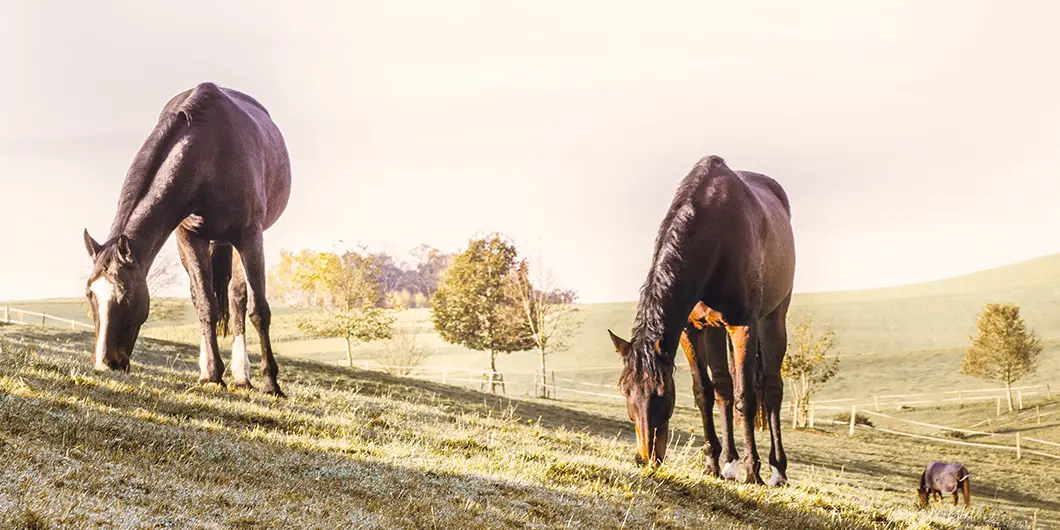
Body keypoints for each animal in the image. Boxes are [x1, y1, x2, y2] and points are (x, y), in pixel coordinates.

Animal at [82, 82, 291, 396]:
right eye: (90, 295)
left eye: (126, 295)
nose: (105, 363)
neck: (210, 153)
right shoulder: (188, 238)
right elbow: (205, 304)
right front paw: (214, 375)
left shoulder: (250, 237)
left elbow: (258, 309)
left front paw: (271, 383)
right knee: (204, 297)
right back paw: (209, 371)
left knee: (238, 299)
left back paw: (243, 376)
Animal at [608, 155, 795, 486]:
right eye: (625, 392)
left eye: (661, 394)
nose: (645, 458)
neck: (716, 237)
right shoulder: (691, 329)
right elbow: (704, 392)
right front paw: (712, 464)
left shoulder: (743, 325)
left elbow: (745, 396)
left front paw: (753, 473)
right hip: (714, 330)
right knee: (722, 388)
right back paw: (729, 463)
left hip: (774, 317)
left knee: (772, 389)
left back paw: (777, 471)